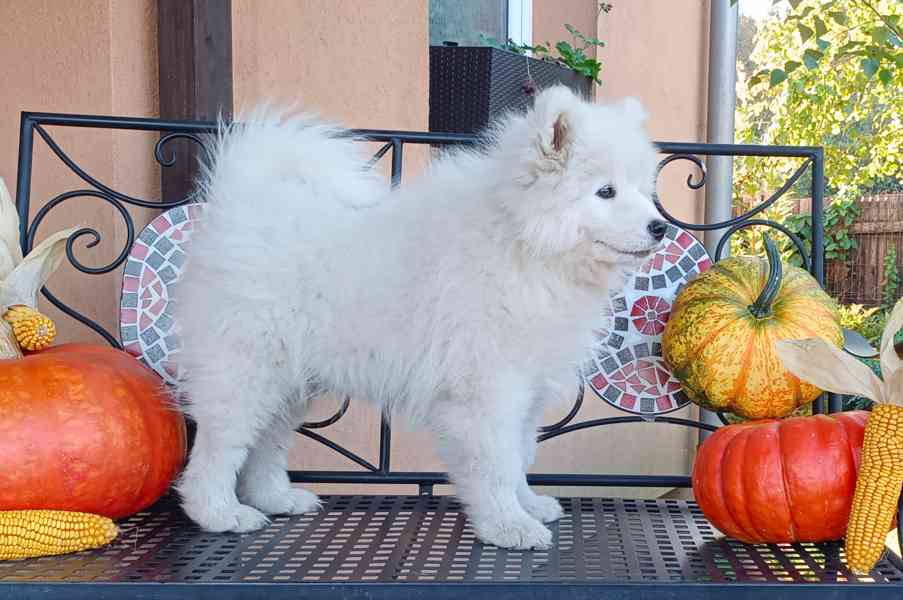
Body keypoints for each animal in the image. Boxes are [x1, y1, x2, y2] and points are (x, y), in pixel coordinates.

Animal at [173, 84, 668, 548]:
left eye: (645, 191)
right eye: (606, 191)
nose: (660, 226)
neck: (525, 245)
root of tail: (241, 205)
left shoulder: (526, 390)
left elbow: (521, 455)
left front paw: (527, 505)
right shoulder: (487, 391)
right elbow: (497, 464)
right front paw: (508, 526)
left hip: (290, 382)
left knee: (266, 444)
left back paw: (277, 498)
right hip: (245, 371)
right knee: (219, 448)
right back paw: (220, 513)